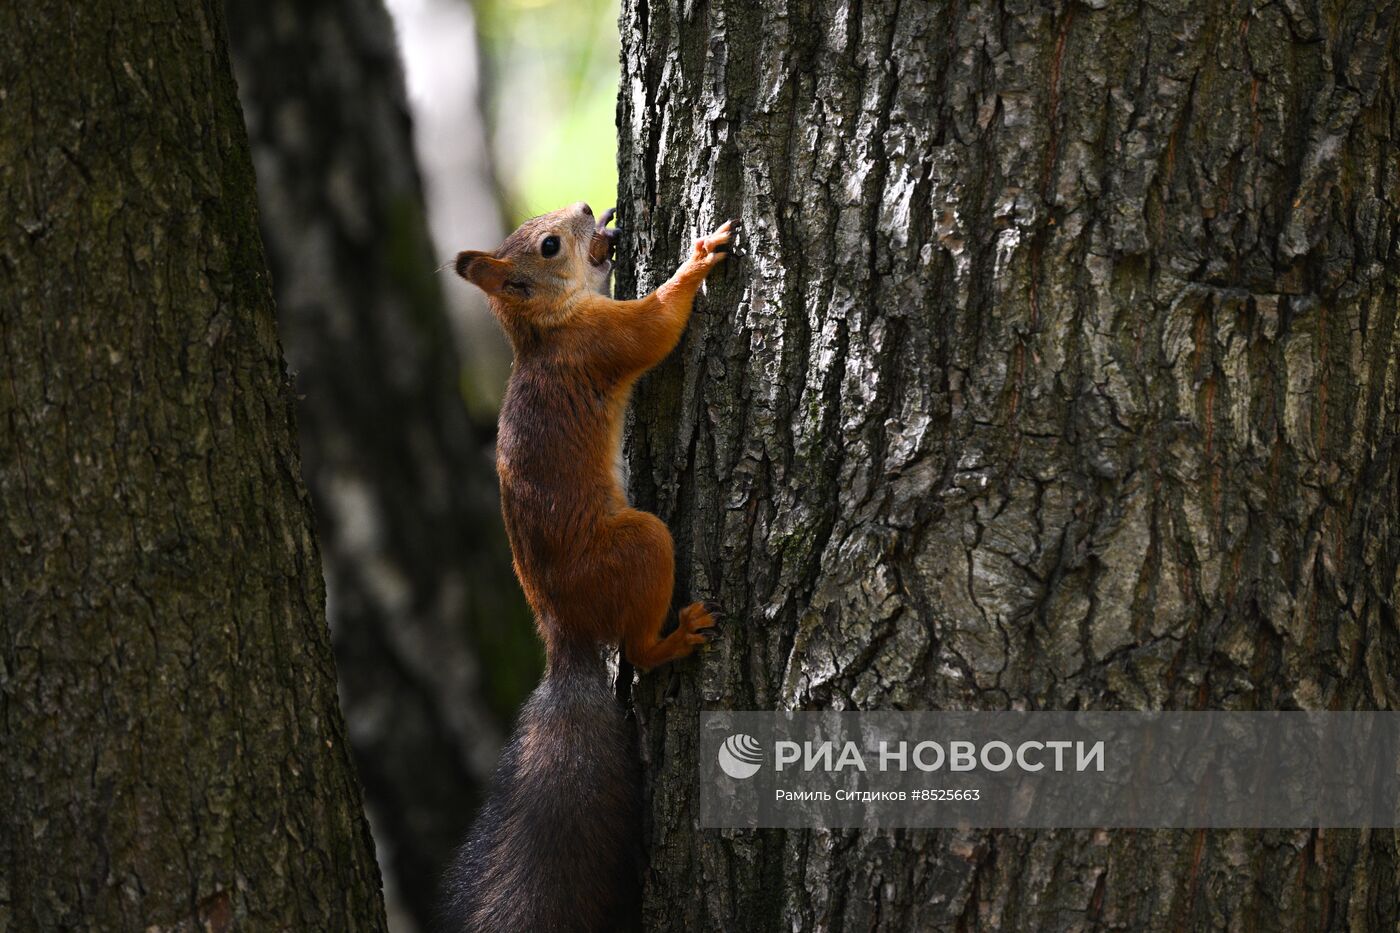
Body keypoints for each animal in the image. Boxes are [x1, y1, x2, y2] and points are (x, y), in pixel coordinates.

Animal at [445, 200, 739, 924]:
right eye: (551, 245)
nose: (585, 208)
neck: (549, 329)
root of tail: (566, 634)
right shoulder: (605, 340)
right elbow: (657, 328)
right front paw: (698, 260)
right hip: (640, 544)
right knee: (635, 650)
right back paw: (678, 637)